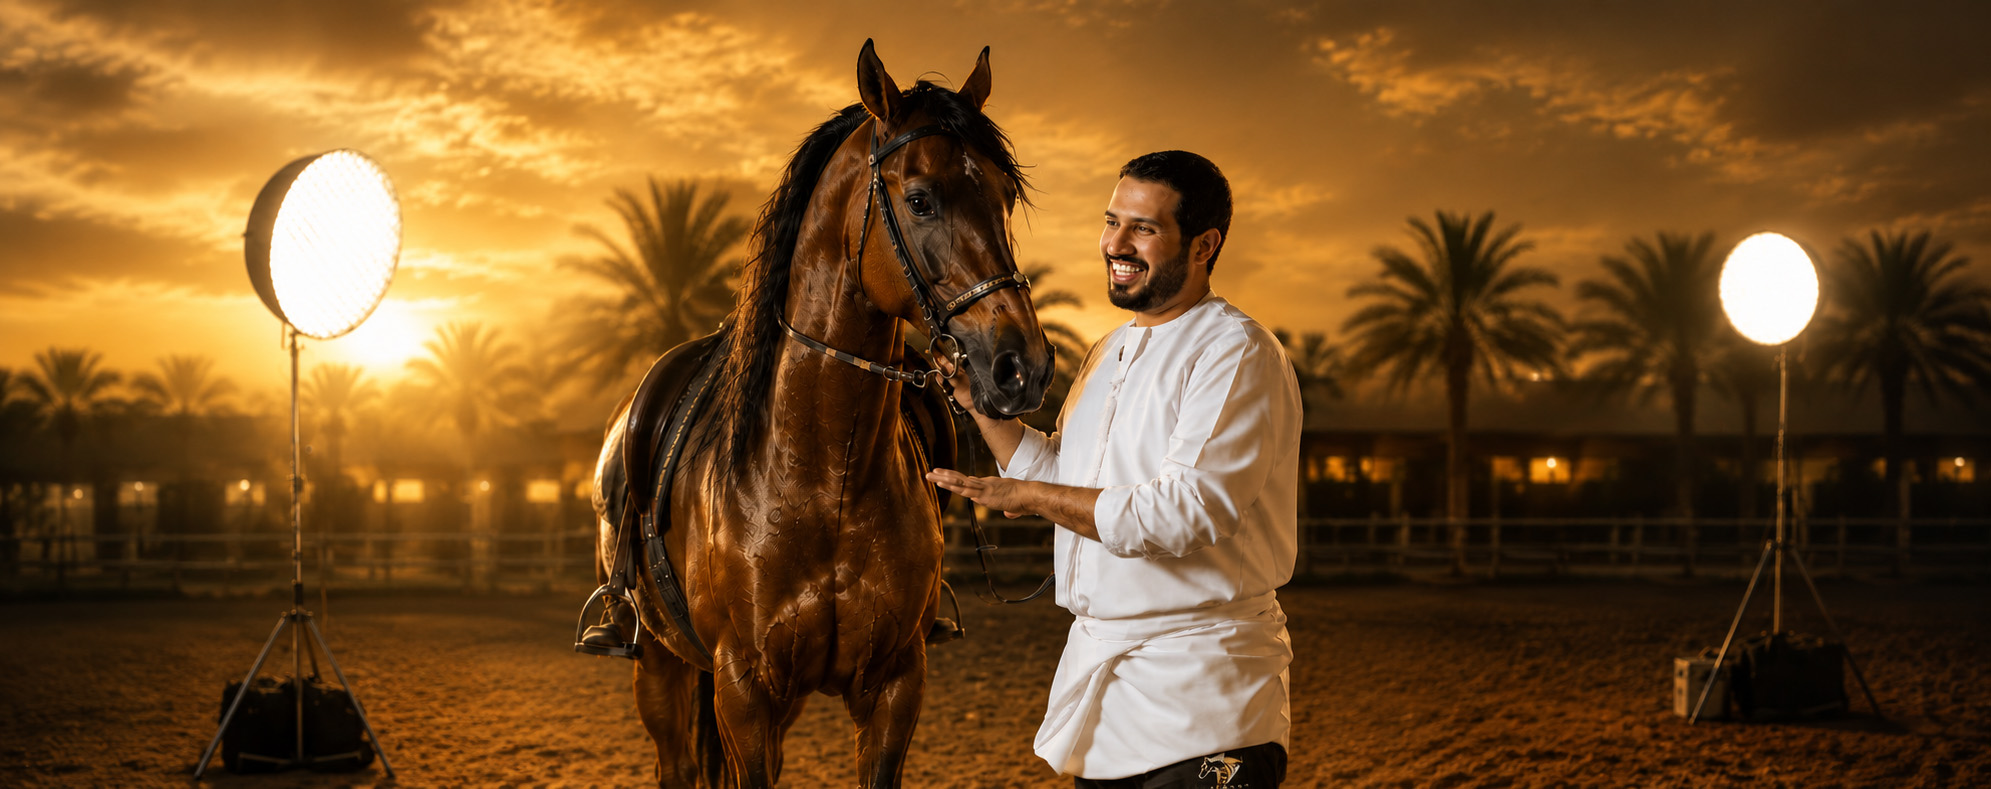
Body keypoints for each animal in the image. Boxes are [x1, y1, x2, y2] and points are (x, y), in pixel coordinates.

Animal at [589, 41, 1054, 787]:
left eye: (1004, 197)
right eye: (919, 200)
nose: (1022, 366)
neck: (822, 476)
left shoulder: (895, 685)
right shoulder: (744, 691)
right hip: (658, 667)